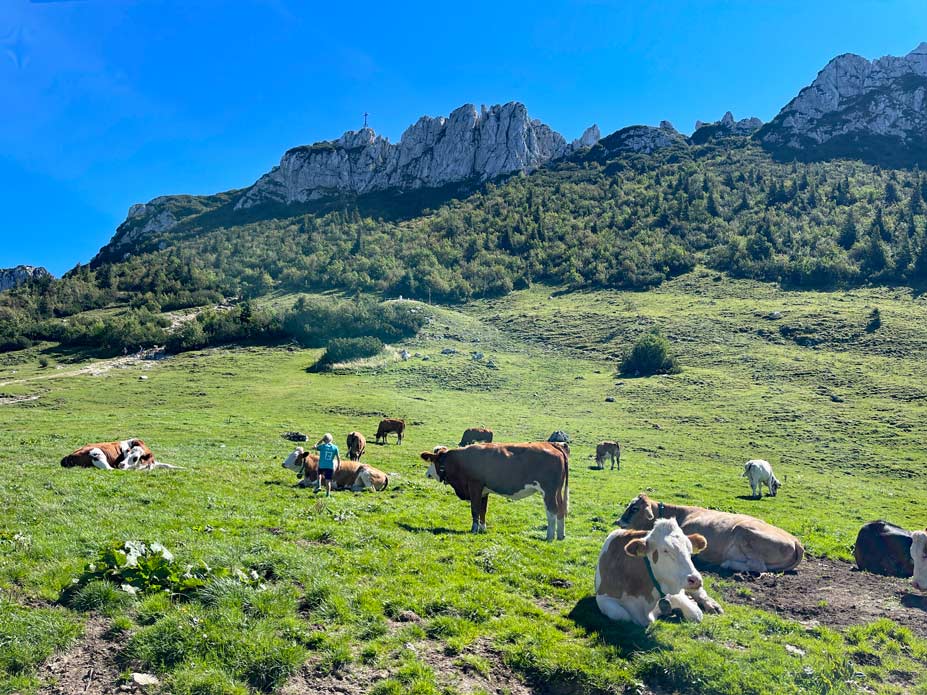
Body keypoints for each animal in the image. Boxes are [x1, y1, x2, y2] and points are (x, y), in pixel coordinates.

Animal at [420, 442, 569, 541]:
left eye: (433, 462)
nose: (427, 474)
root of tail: (552, 445)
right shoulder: (484, 491)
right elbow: (483, 510)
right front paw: (482, 528)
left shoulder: (475, 486)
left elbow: (475, 509)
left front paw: (474, 529)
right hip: (557, 491)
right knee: (561, 509)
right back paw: (560, 535)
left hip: (549, 491)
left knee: (552, 511)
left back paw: (550, 536)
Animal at [618, 493, 803, 579]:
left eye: (634, 508)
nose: (618, 521)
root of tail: (796, 540)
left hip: (743, 530)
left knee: (758, 566)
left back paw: (726, 563)